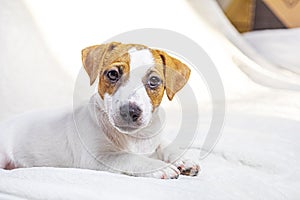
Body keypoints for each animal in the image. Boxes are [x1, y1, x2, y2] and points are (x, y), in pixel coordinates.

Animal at [0, 41, 202, 178]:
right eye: (113, 74)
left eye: (154, 81)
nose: (130, 111)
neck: (133, 138)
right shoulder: (98, 158)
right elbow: (130, 157)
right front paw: (158, 166)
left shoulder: (154, 137)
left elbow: (166, 144)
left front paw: (183, 159)